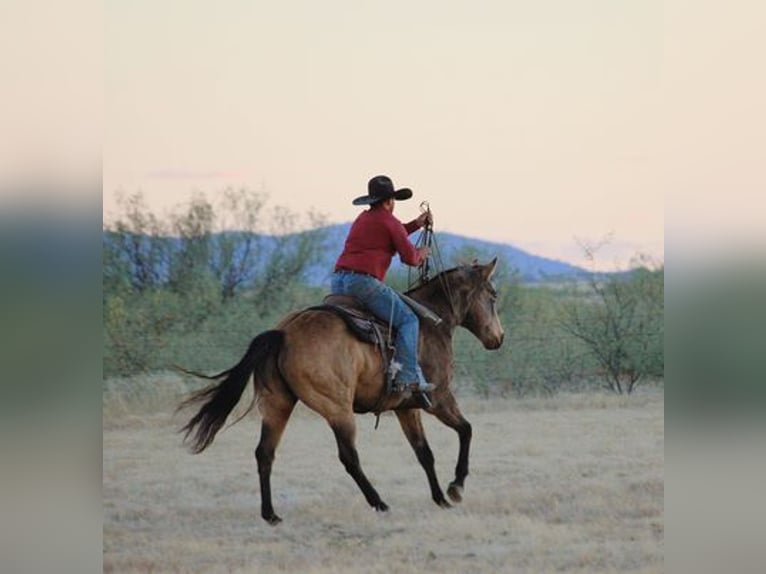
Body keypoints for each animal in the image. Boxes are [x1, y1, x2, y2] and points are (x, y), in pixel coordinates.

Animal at [178, 260, 504, 528]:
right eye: (493, 295)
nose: (499, 338)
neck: (431, 321)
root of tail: (283, 333)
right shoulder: (439, 400)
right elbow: (466, 430)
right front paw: (456, 487)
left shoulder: (406, 408)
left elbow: (424, 453)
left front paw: (440, 498)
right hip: (338, 409)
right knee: (349, 457)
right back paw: (379, 503)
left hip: (277, 405)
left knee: (265, 453)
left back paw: (270, 515)